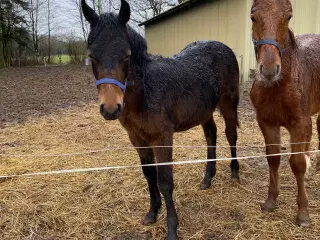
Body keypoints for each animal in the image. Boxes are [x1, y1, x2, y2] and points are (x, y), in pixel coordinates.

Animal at [82, 0, 240, 238]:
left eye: (127, 54)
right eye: (92, 55)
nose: (110, 109)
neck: (146, 92)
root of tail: (223, 46)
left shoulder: (162, 137)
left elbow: (165, 181)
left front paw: (172, 228)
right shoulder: (137, 138)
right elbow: (149, 174)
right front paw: (152, 213)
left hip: (229, 103)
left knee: (231, 134)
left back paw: (234, 172)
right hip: (204, 110)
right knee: (211, 134)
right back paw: (207, 179)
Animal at [250, 0, 320, 227]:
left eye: (288, 16)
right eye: (253, 17)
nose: (269, 70)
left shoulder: (299, 122)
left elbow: (297, 164)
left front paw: (303, 213)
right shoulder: (266, 122)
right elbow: (273, 158)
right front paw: (271, 200)